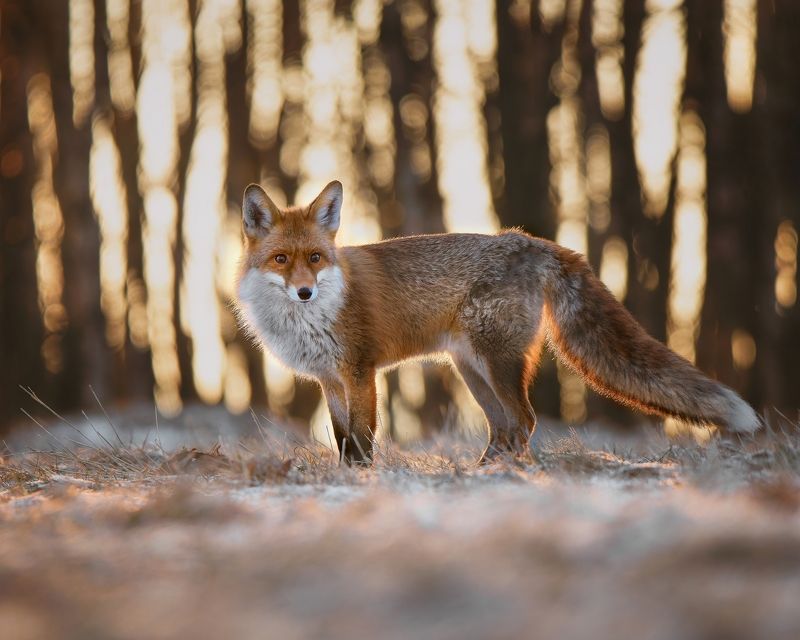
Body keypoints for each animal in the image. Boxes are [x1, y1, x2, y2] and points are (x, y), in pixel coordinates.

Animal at [235, 180, 762, 464]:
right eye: (281, 260)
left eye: (316, 258)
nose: (305, 292)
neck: (308, 320)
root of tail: (532, 240)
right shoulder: (330, 380)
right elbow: (343, 440)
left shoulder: (360, 372)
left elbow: (363, 440)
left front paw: (363, 482)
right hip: (472, 370)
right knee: (504, 429)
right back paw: (481, 473)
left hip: (497, 363)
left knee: (523, 422)